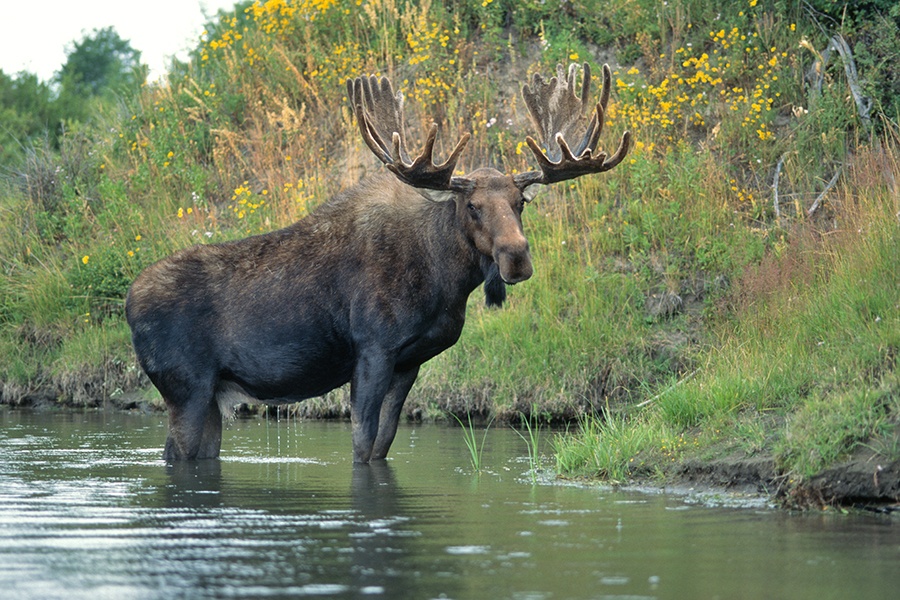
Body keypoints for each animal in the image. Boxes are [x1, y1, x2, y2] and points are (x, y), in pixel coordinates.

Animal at [125, 62, 632, 464]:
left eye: (520, 202)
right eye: (472, 207)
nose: (517, 257)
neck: (444, 283)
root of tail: (127, 303)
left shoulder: (410, 362)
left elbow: (382, 444)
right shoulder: (373, 349)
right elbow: (362, 444)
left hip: (210, 396)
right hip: (186, 388)